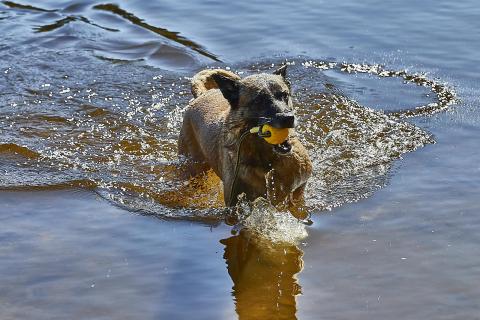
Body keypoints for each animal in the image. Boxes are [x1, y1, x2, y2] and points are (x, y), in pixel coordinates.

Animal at [178, 65, 314, 220]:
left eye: (284, 95)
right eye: (259, 100)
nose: (288, 118)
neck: (267, 161)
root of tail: (202, 94)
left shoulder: (299, 188)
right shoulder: (235, 203)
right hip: (193, 167)